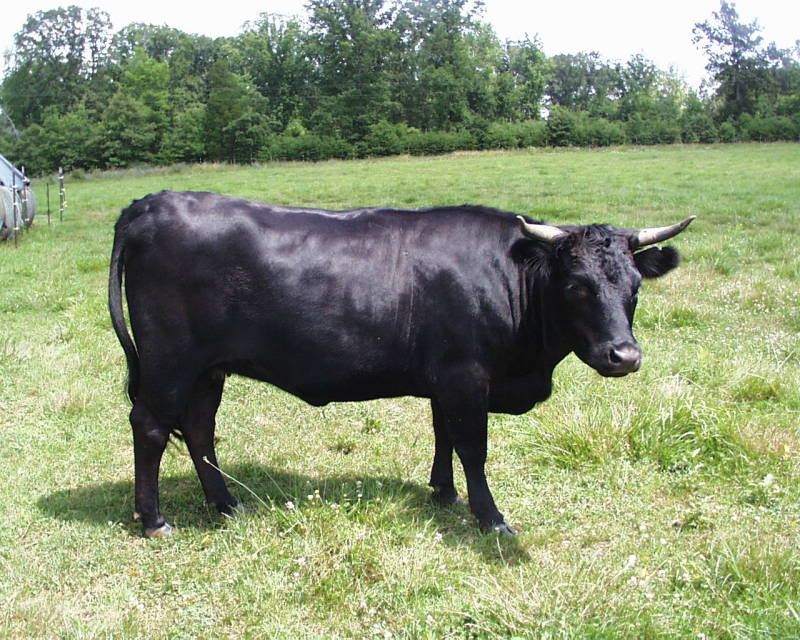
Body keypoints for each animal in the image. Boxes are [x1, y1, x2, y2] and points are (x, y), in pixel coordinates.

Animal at [108, 191, 694, 538]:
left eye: (635, 286)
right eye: (577, 286)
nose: (624, 356)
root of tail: (150, 202)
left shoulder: (446, 379)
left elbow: (443, 435)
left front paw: (442, 492)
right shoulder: (467, 376)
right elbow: (473, 447)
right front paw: (490, 518)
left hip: (208, 369)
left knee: (199, 429)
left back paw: (227, 504)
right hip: (169, 362)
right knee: (152, 426)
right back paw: (154, 519)